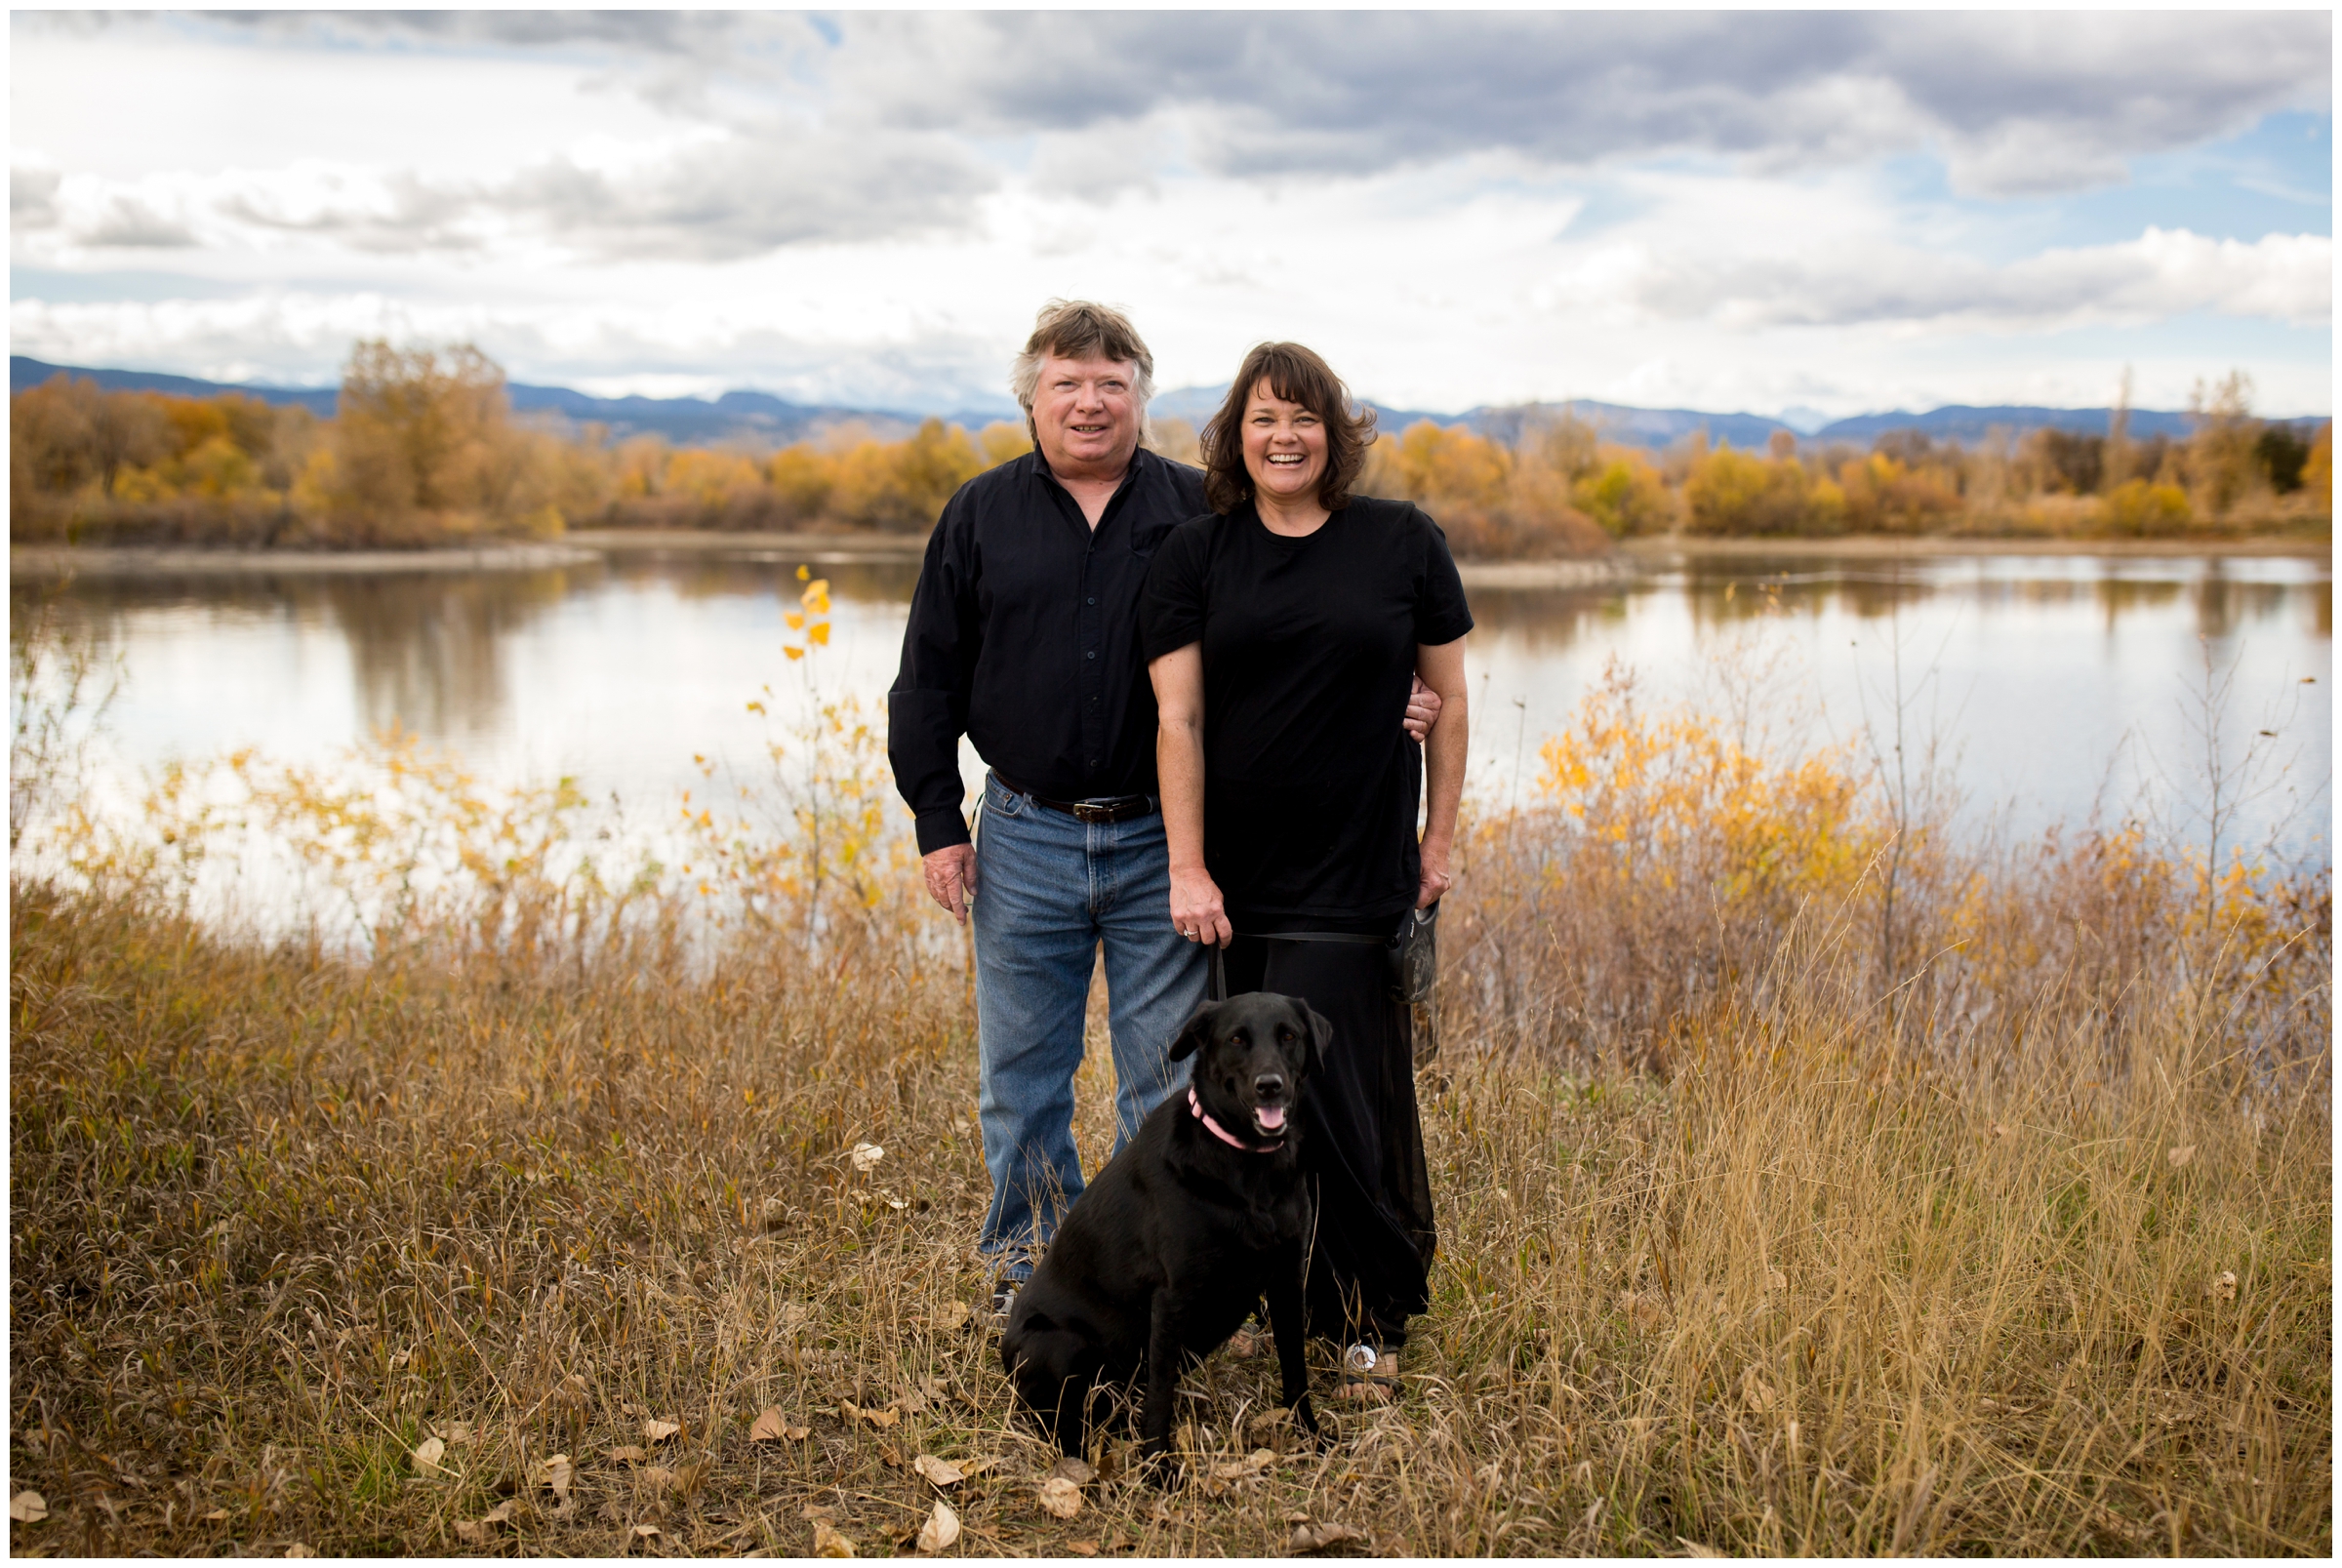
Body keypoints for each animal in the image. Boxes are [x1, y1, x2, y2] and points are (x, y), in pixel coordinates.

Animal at [997, 1001, 1330, 1469]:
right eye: (1236, 1039)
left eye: (1289, 1036)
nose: (1270, 1086)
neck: (1246, 1167)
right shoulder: (1174, 1296)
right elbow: (1160, 1396)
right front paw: (1158, 1469)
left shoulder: (1286, 1279)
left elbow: (1296, 1370)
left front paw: (1312, 1437)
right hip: (1059, 1346)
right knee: (1057, 1422)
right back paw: (1082, 1463)